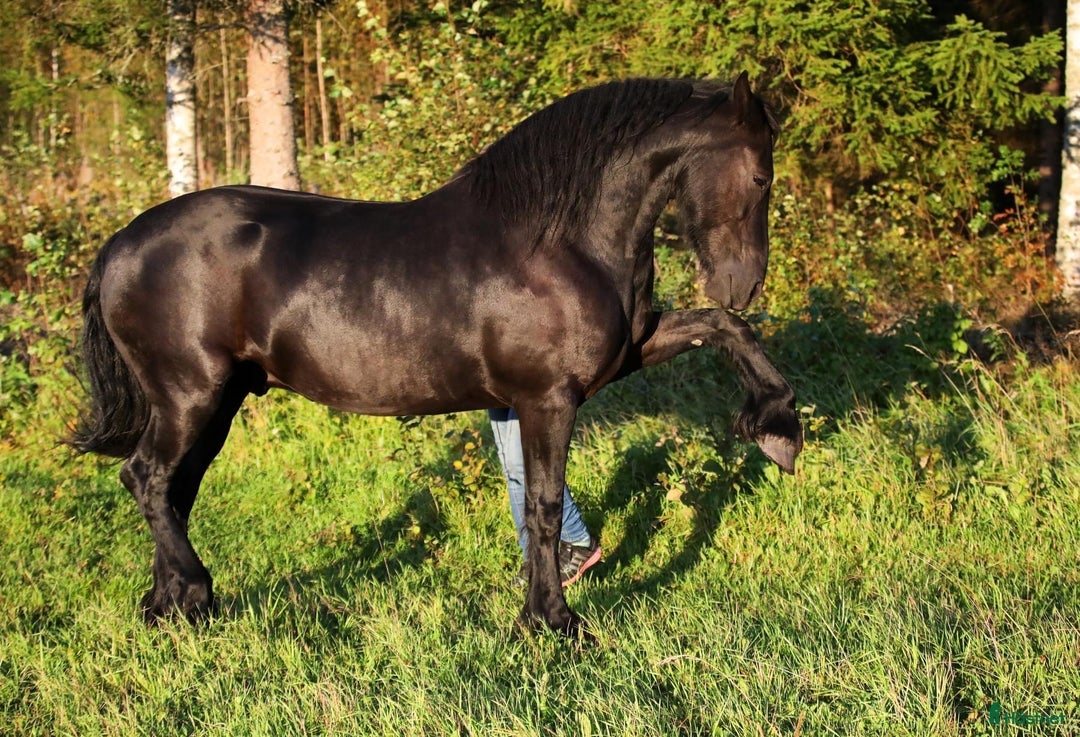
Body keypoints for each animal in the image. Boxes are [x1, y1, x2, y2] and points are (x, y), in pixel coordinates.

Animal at [71, 72, 802, 639]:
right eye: (761, 175)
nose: (744, 282)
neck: (559, 239)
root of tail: (122, 245)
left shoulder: (619, 356)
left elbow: (724, 329)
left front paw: (778, 428)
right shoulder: (549, 397)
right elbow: (541, 502)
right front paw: (552, 621)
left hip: (217, 402)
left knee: (174, 489)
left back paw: (170, 606)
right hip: (189, 395)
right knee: (148, 478)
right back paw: (193, 592)